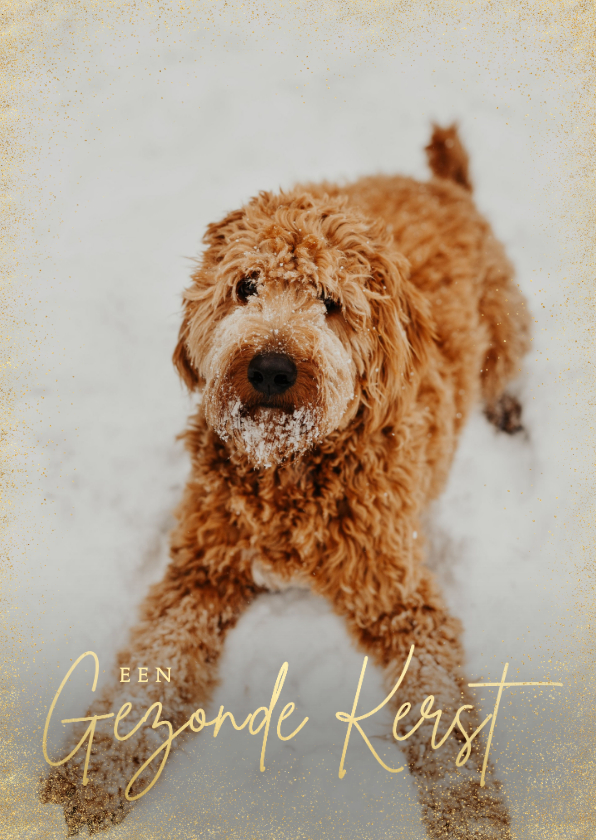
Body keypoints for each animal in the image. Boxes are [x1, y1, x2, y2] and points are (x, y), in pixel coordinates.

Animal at [39, 126, 528, 840]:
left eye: (331, 303)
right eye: (246, 285)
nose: (271, 367)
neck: (288, 470)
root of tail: (440, 185)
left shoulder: (401, 599)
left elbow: (440, 710)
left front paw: (470, 812)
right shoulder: (200, 573)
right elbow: (149, 677)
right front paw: (88, 775)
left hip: (507, 321)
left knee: (506, 368)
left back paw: (509, 412)